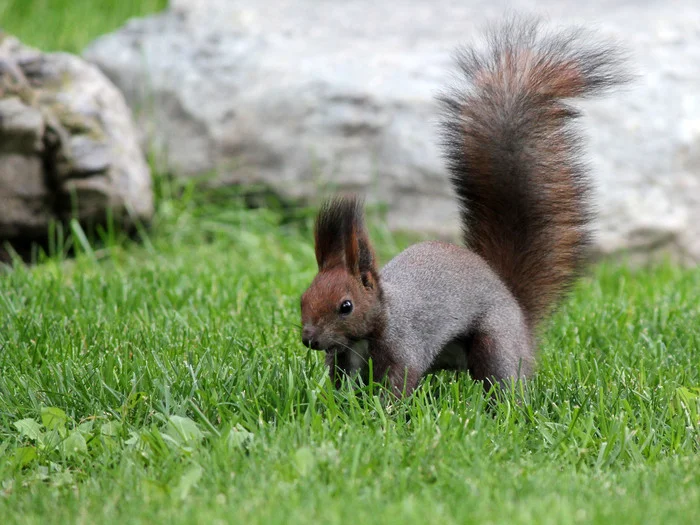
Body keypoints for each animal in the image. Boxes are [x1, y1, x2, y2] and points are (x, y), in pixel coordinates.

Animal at [298, 18, 628, 396]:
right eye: (303, 297)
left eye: (346, 306)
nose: (309, 339)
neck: (372, 326)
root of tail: (519, 315)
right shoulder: (345, 358)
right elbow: (343, 387)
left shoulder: (404, 345)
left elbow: (399, 380)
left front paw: (383, 409)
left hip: (495, 341)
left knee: (503, 379)